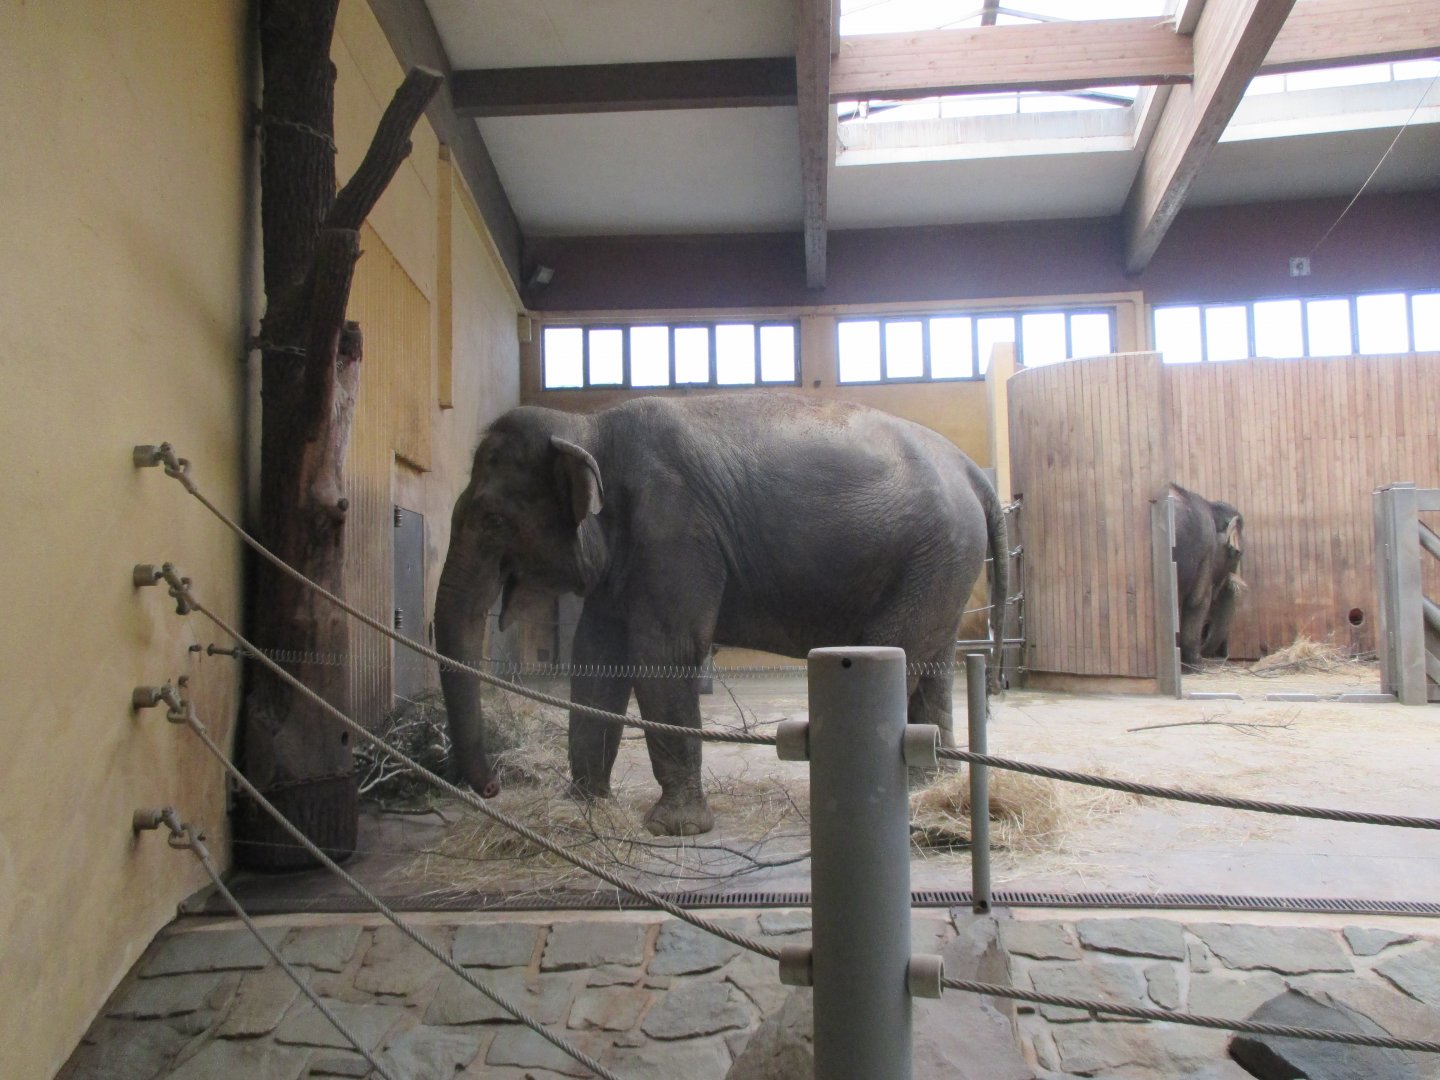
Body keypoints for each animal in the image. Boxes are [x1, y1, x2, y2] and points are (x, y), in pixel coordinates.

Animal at [435, 392, 1009, 837]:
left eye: (492, 519)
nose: (491, 787)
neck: (587, 427)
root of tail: (971, 470)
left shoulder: (674, 529)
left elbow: (664, 653)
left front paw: (675, 828)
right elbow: (597, 656)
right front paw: (583, 806)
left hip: (936, 550)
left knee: (897, 651)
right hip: (942, 562)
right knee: (934, 661)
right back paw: (932, 784)